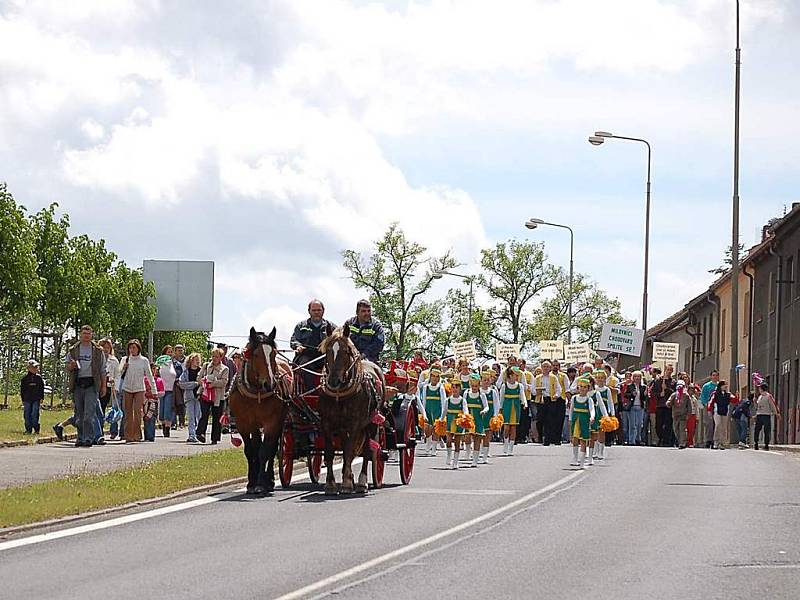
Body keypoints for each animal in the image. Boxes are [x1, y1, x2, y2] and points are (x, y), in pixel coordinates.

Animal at [228, 326, 290, 494]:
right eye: (255, 354)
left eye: (273, 353)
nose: (270, 384)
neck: (256, 393)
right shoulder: (243, 423)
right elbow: (250, 451)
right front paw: (251, 482)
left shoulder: (271, 422)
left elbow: (264, 451)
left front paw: (261, 483)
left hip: (279, 423)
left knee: (272, 448)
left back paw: (269, 480)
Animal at [318, 326, 384, 494]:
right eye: (328, 351)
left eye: (345, 351)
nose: (333, 381)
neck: (339, 395)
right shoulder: (326, 424)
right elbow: (330, 452)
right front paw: (331, 484)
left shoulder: (354, 425)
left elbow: (348, 451)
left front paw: (347, 483)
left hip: (371, 424)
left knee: (367, 451)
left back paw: (361, 482)